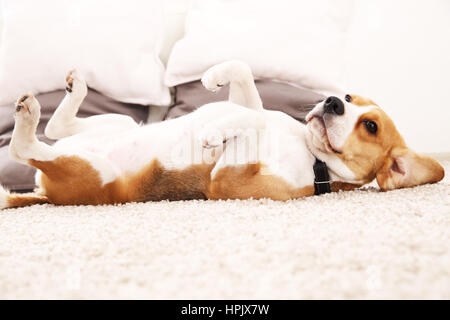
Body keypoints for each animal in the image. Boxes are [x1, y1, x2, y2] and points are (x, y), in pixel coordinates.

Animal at [0, 61, 444, 209]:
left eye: (370, 126)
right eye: (350, 97)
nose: (332, 101)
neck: (309, 152)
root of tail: (44, 192)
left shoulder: (225, 182)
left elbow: (253, 119)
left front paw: (216, 131)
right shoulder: (252, 102)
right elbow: (247, 88)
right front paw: (215, 78)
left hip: (94, 172)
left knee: (26, 146)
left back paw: (29, 115)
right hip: (119, 123)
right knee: (56, 128)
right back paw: (72, 91)